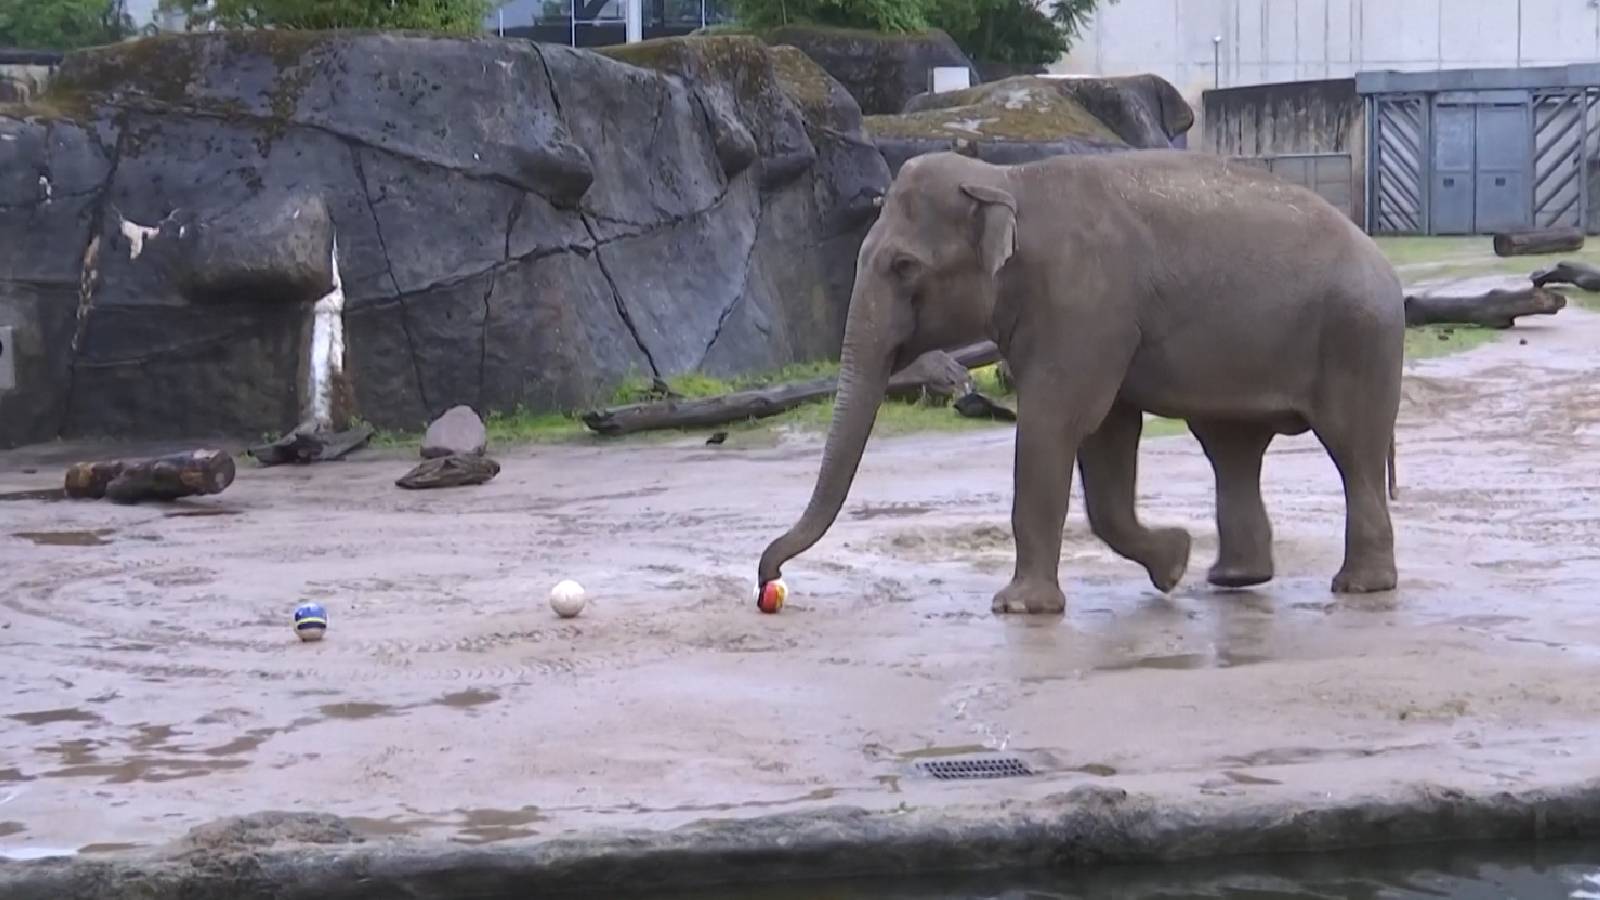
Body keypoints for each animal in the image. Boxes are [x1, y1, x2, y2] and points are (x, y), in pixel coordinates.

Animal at [757, 149, 1405, 615]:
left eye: (904, 266)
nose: (770, 578)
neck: (1007, 181)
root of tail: (1379, 256)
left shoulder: (1085, 304)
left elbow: (1057, 420)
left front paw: (1018, 608)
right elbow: (1106, 436)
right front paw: (1173, 562)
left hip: (1359, 338)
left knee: (1352, 450)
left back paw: (1359, 587)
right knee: (1232, 448)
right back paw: (1233, 578)